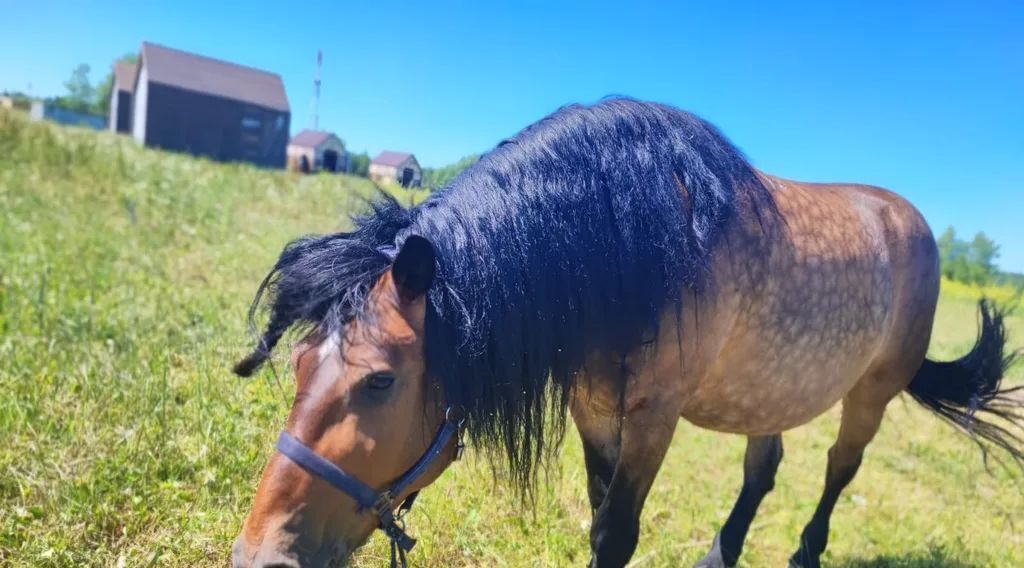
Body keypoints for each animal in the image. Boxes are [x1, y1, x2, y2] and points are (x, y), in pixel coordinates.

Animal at [228, 99, 1019, 564]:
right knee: (763, 469)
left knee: (837, 471)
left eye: (380, 381)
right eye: (299, 363)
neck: (637, 246)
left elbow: (616, 533)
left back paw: (804, 552)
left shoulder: (653, 417)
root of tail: (909, 220)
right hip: (774, 387)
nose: (259, 556)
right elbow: (599, 509)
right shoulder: (593, 409)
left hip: (871, 394)